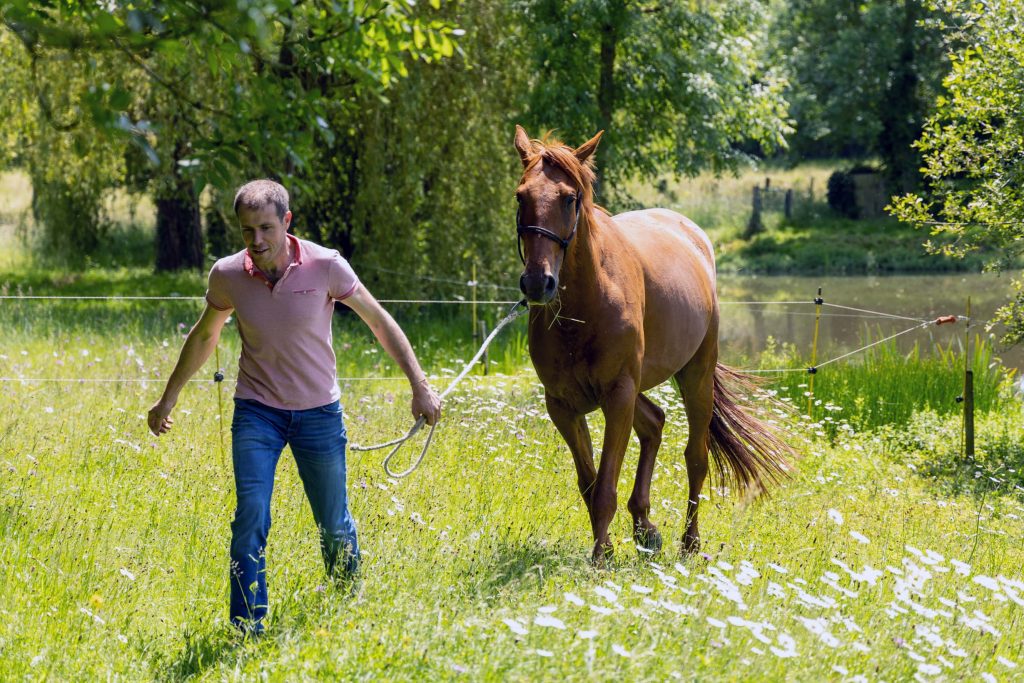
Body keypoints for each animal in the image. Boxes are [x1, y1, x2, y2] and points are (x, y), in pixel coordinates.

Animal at [513, 125, 792, 565]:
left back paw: (689, 542)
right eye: (521, 196)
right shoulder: (562, 405)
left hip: (695, 376)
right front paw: (608, 547)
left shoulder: (618, 396)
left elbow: (605, 487)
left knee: (695, 458)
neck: (584, 308)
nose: (538, 283)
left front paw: (600, 558)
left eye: (570, 198)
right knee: (655, 423)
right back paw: (645, 526)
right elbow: (590, 485)